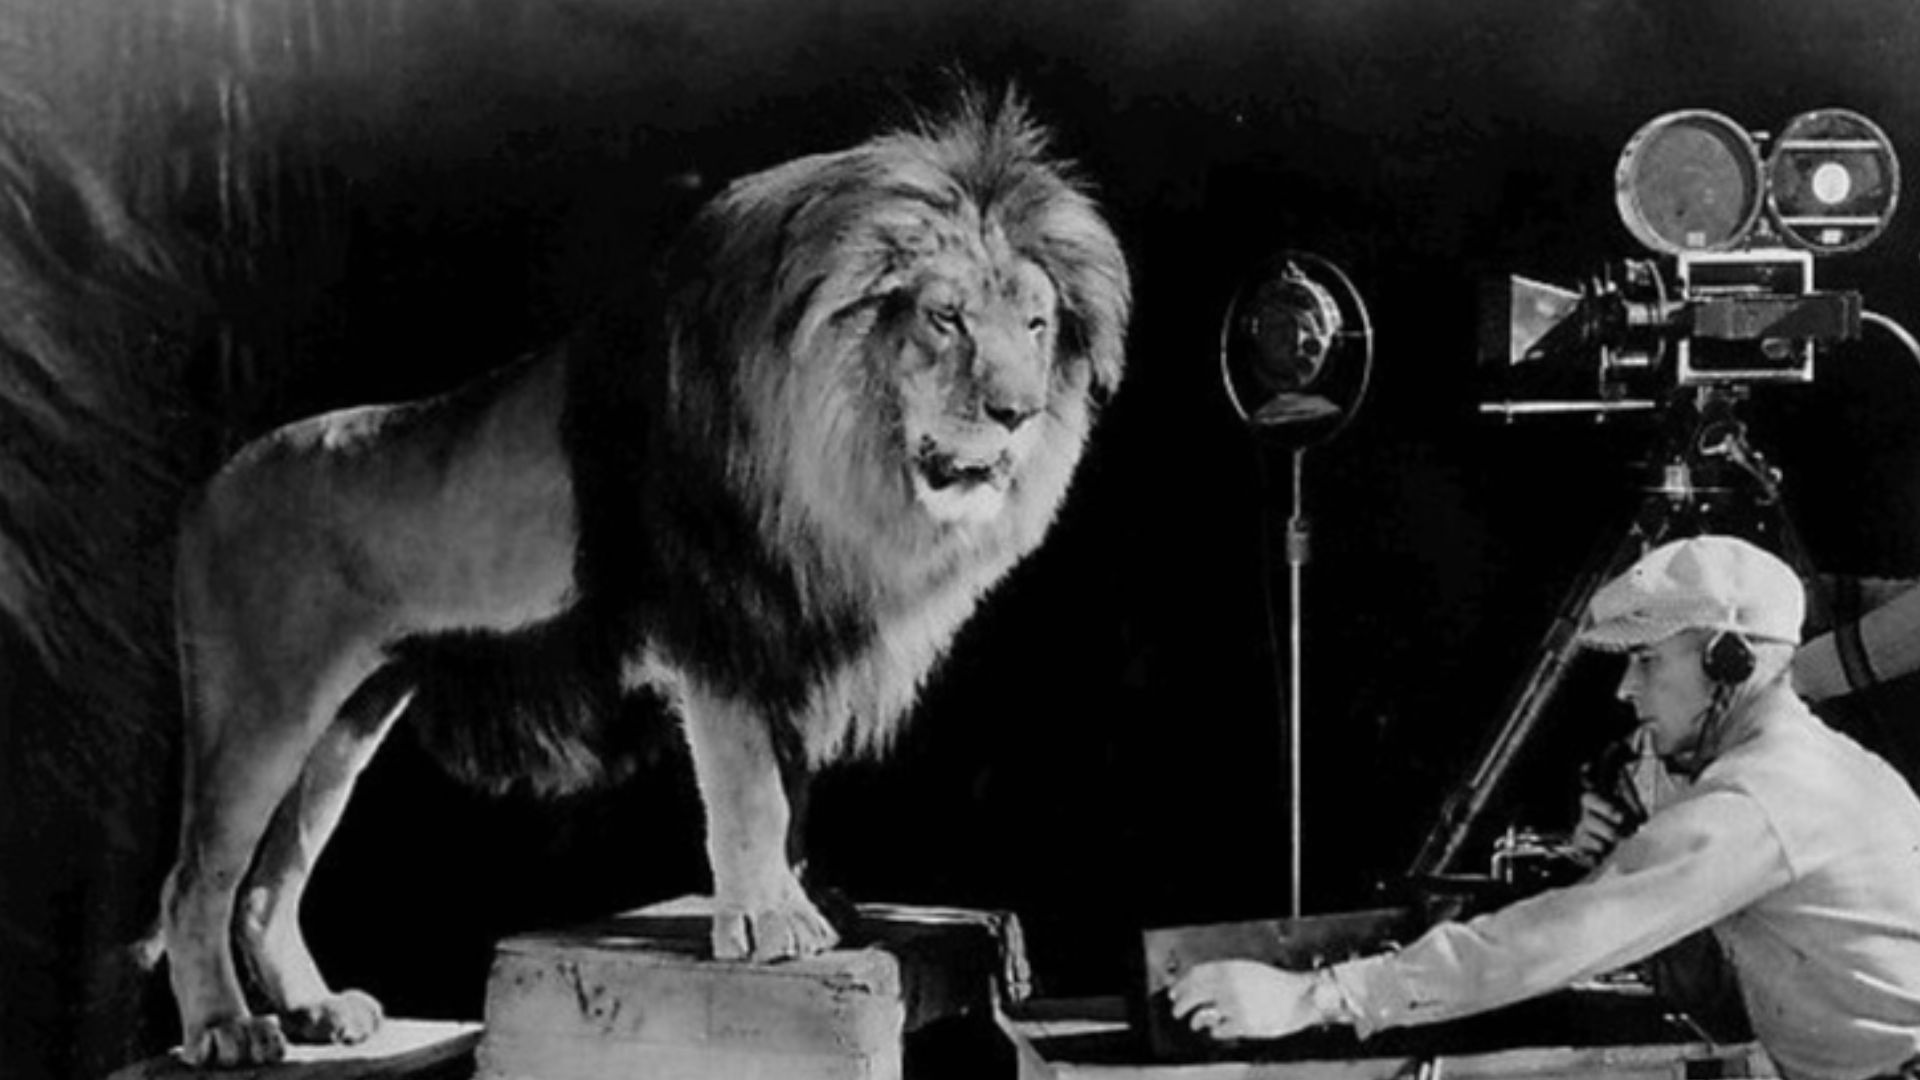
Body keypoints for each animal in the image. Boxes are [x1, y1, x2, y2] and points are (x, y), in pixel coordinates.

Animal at [157, 94, 1132, 1066]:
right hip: (262, 709)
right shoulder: (719, 624)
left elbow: (793, 789)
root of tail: (209, 487)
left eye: (1037, 325)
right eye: (945, 318)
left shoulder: (784, 633)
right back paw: (228, 1031)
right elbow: (749, 787)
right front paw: (770, 922)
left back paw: (318, 1012)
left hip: (348, 722)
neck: (836, 449)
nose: (1018, 411)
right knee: (197, 881)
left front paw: (813, 900)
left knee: (268, 886)